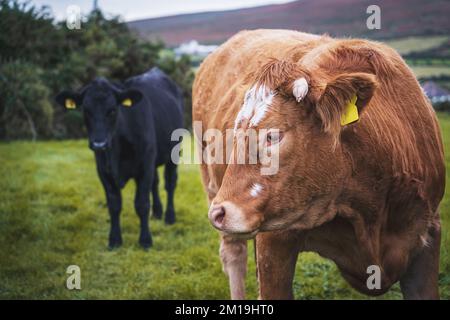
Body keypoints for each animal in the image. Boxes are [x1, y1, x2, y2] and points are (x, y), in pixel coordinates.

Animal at [55, 67, 183, 248]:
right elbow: (114, 204)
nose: (99, 143)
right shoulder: (103, 170)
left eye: (112, 110)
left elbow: (142, 204)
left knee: (170, 183)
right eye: (86, 110)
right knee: (156, 182)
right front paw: (114, 239)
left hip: (174, 152)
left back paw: (169, 217)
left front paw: (145, 240)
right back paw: (157, 212)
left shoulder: (144, 166)